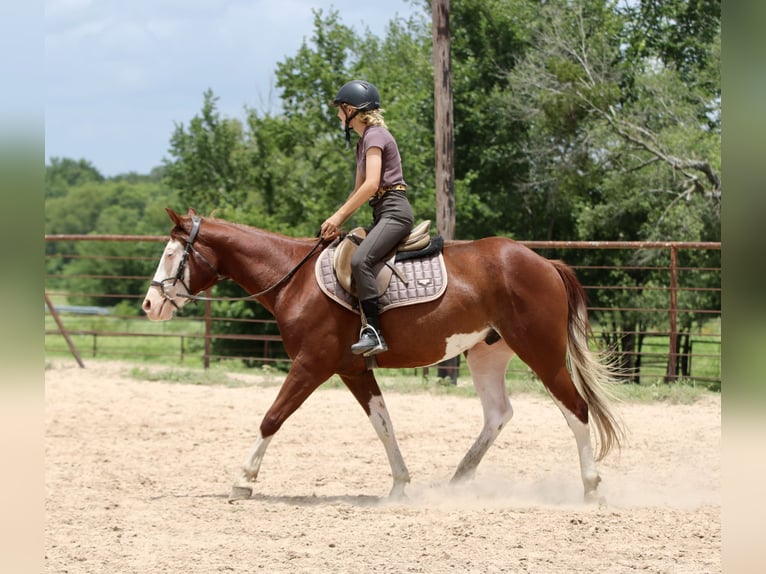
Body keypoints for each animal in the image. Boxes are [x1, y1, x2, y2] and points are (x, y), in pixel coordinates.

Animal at [142, 208, 624, 503]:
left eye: (170, 254)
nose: (149, 304)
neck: (294, 279)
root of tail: (544, 262)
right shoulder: (353, 370)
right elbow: (383, 425)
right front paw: (400, 485)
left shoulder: (311, 365)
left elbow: (272, 418)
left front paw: (242, 481)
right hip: (487, 354)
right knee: (498, 414)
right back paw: (458, 480)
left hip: (542, 354)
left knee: (576, 409)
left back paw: (591, 488)